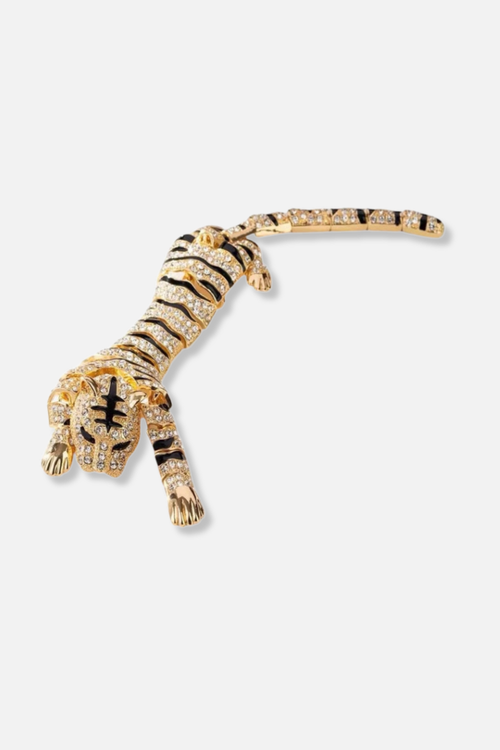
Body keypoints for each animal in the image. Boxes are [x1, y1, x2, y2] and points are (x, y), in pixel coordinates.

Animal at [42, 208, 444, 526]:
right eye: (87, 436)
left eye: (124, 445)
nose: (97, 471)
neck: (121, 371)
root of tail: (220, 234)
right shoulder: (69, 381)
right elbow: (57, 413)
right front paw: (57, 454)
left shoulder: (157, 409)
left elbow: (170, 452)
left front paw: (184, 501)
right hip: (179, 248)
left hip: (240, 255)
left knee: (257, 251)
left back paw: (261, 277)